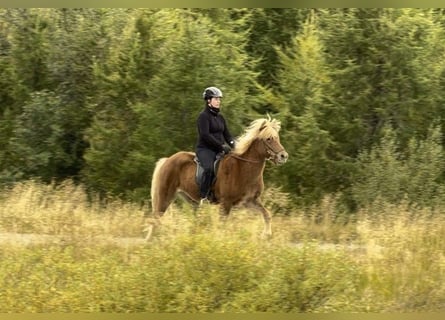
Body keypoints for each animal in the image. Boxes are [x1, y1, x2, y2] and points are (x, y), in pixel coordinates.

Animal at [146, 116, 288, 239]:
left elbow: (267, 214)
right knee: (155, 220)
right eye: (269, 139)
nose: (283, 156)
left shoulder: (250, 201)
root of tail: (167, 160)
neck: (243, 168)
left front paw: (266, 235)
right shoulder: (226, 203)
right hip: (165, 197)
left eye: (277, 138)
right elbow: (222, 226)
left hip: (192, 202)